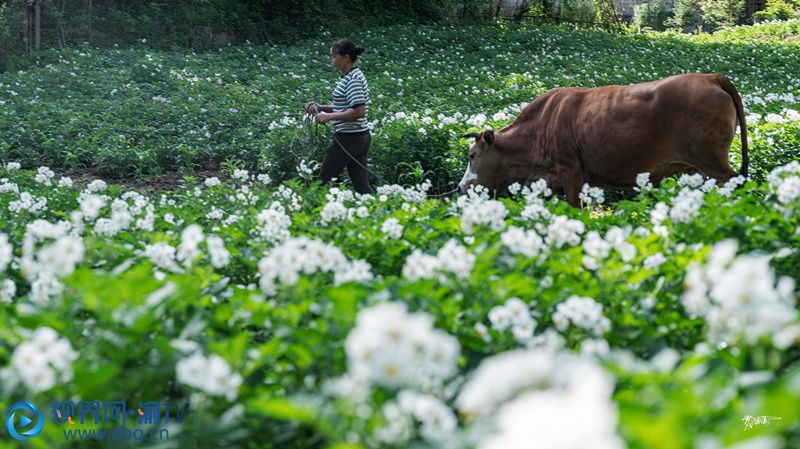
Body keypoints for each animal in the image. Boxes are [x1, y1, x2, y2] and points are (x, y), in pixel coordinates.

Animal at [460, 73, 748, 206]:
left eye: (473, 155)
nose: (462, 186)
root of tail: (711, 77)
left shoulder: (570, 173)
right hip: (701, 168)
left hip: (713, 162)